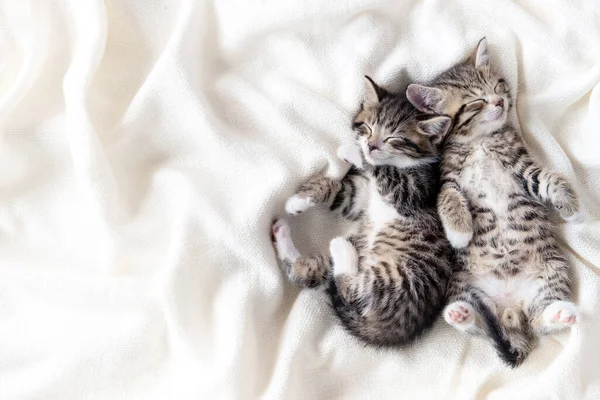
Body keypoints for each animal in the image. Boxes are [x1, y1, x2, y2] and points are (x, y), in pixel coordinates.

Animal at [270, 76, 450, 346]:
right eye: (368, 127)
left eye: (394, 138)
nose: (371, 145)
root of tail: (387, 332)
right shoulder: (359, 199)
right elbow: (336, 190)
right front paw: (298, 201)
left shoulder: (414, 190)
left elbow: (384, 171)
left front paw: (353, 152)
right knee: (307, 272)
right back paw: (282, 232)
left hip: (398, 280)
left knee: (351, 290)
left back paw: (341, 249)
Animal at [408, 39, 580, 368]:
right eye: (476, 102)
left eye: (498, 86)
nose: (500, 102)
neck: (481, 141)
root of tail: (510, 311)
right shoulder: (447, 177)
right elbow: (447, 197)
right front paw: (460, 232)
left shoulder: (521, 167)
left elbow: (545, 179)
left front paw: (570, 206)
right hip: (462, 283)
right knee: (480, 326)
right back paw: (461, 314)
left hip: (552, 270)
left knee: (537, 321)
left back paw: (561, 313)